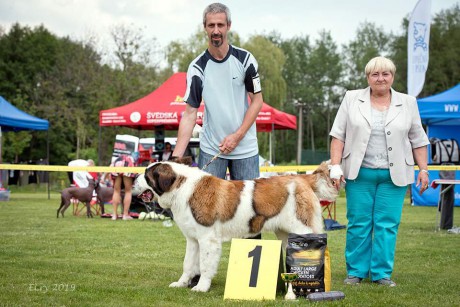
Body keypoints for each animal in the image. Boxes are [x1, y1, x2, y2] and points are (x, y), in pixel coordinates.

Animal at [133, 159, 338, 294]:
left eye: (146, 176)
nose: (133, 180)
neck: (182, 186)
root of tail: (303, 179)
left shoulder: (208, 239)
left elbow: (205, 264)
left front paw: (201, 287)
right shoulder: (193, 239)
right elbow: (188, 263)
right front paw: (182, 283)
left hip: (303, 230)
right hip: (286, 235)